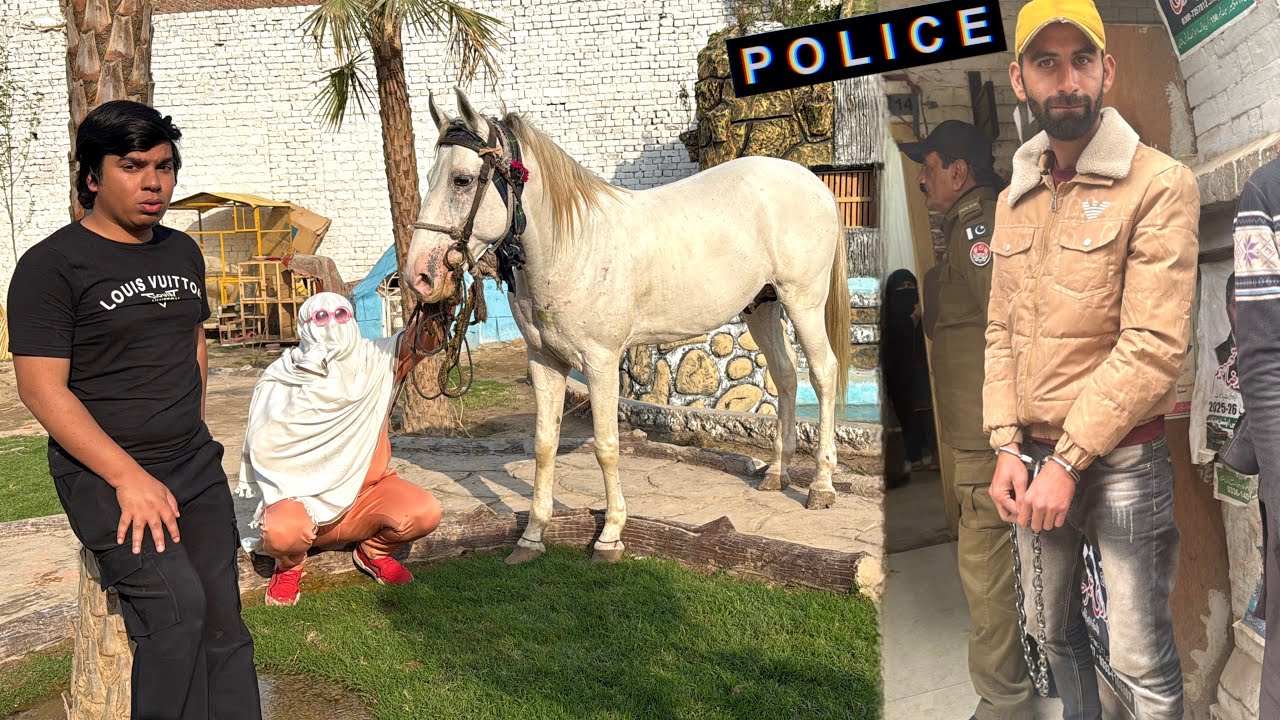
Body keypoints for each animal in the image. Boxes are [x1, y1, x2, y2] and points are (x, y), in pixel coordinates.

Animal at [406, 89, 851, 564]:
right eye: (430, 175)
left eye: (462, 180)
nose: (419, 276)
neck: (573, 245)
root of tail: (812, 182)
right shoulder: (545, 361)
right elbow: (544, 445)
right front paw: (532, 535)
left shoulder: (600, 362)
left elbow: (606, 446)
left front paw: (610, 534)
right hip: (763, 306)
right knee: (786, 377)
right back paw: (776, 473)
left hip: (803, 303)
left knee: (823, 374)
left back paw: (821, 486)